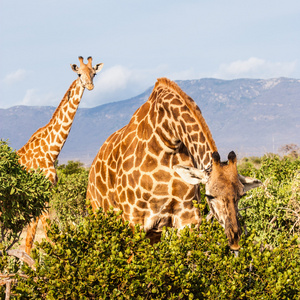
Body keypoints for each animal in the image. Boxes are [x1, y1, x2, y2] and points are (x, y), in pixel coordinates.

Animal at [18, 56, 104, 253]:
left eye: (94, 73)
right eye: (79, 74)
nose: (90, 86)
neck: (51, 151)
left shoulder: (45, 193)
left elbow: (30, 238)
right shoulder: (41, 191)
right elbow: (49, 234)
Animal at [86, 78, 260, 251]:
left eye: (241, 195)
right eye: (209, 196)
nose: (235, 241)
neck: (168, 138)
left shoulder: (187, 217)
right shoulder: (133, 220)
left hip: (153, 234)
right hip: (100, 217)